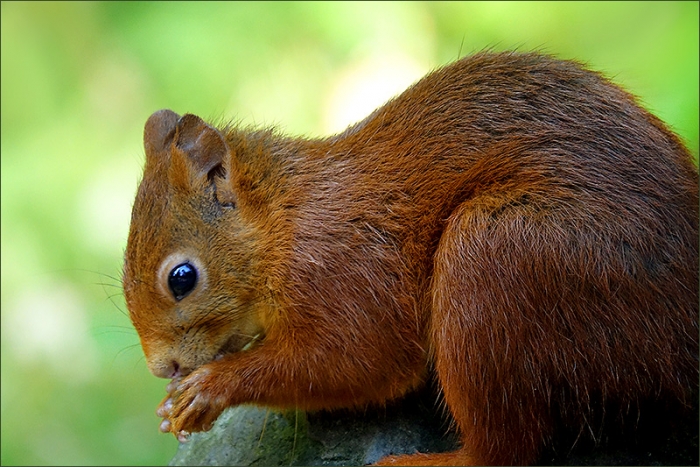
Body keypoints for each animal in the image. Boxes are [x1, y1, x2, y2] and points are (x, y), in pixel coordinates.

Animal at [122, 51, 699, 465]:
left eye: (181, 278)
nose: (161, 367)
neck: (285, 223)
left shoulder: (345, 273)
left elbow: (360, 361)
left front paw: (208, 389)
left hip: (494, 256)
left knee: (501, 452)